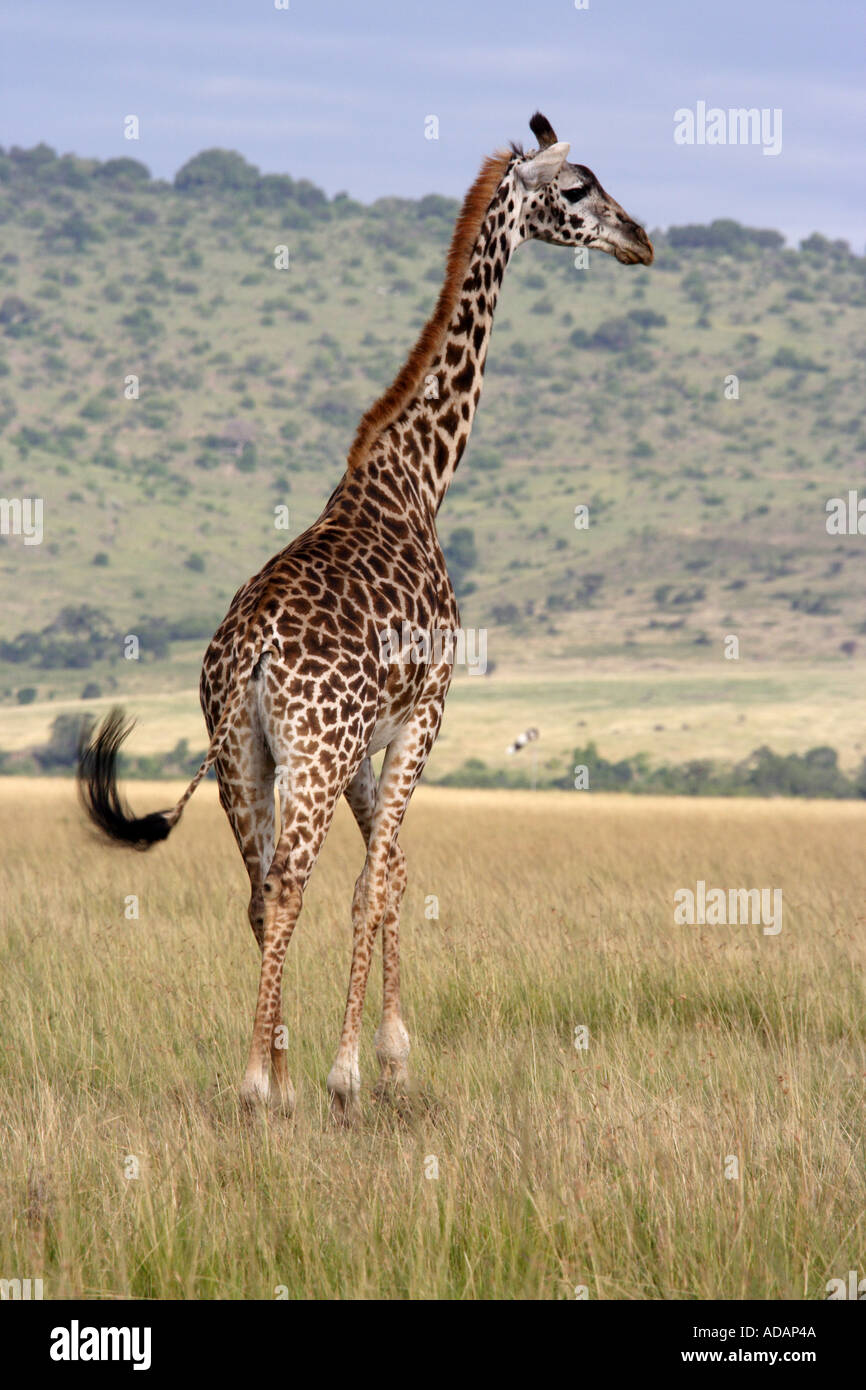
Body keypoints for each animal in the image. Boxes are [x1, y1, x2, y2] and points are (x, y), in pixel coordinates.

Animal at [77, 113, 653, 1123]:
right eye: (579, 188)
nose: (641, 239)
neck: (416, 480)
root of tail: (252, 651)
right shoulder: (427, 709)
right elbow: (376, 880)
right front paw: (359, 1070)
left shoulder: (365, 741)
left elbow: (393, 875)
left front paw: (379, 1060)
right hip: (307, 751)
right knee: (291, 884)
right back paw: (263, 1087)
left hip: (245, 755)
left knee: (261, 888)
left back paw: (273, 1080)